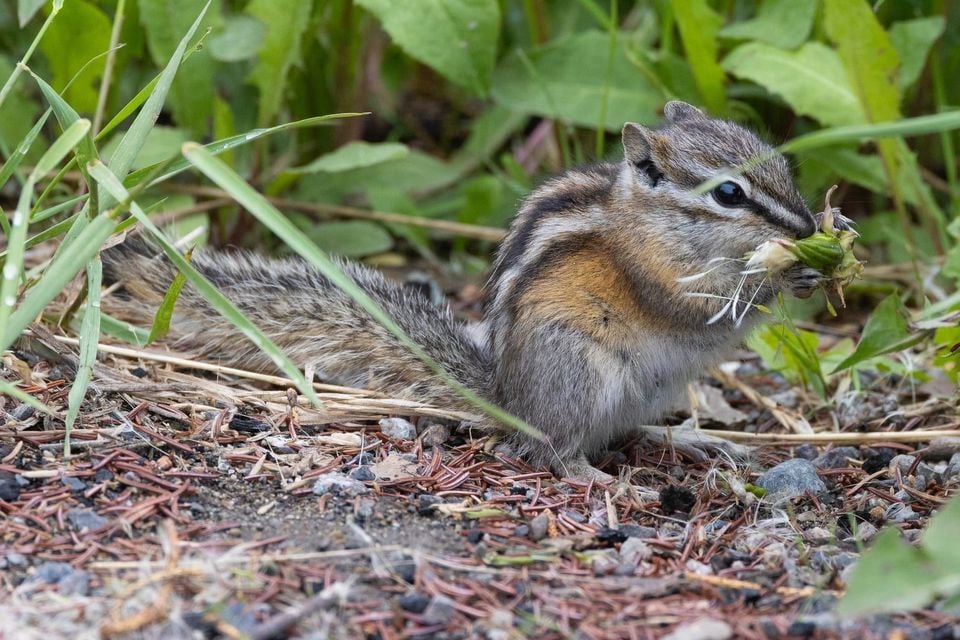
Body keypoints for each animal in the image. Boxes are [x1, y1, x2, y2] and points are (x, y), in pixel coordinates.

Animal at [103, 101, 825, 482]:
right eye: (728, 192)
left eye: (778, 161)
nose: (807, 227)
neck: (651, 220)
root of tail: (506, 398)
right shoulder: (650, 274)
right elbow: (698, 311)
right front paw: (782, 273)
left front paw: (819, 257)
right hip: (582, 372)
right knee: (553, 449)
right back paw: (599, 478)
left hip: (647, 390)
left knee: (626, 431)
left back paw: (690, 441)